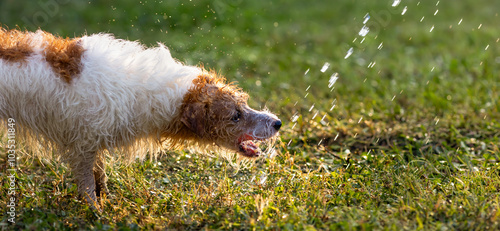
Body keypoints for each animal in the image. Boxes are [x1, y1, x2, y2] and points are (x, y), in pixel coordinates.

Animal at [0, 28, 282, 208]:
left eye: (244, 104)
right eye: (235, 116)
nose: (278, 123)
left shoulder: (92, 143)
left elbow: (99, 176)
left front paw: (106, 200)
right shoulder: (83, 145)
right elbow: (88, 185)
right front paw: (94, 212)